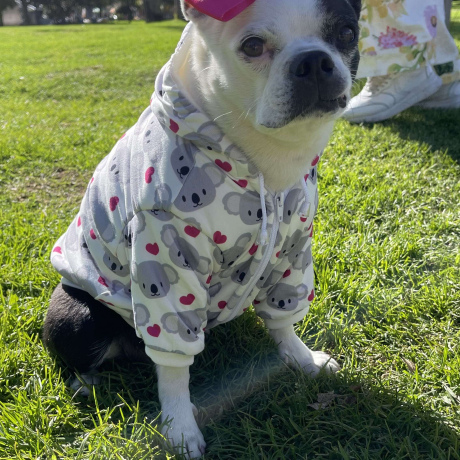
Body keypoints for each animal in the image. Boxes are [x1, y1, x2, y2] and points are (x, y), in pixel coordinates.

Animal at [42, 0, 360, 456]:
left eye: (348, 33)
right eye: (252, 46)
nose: (313, 61)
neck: (266, 165)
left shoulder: (294, 248)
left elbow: (283, 317)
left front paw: (301, 359)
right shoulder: (165, 255)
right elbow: (174, 366)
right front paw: (180, 427)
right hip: (78, 314)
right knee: (82, 350)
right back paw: (86, 383)